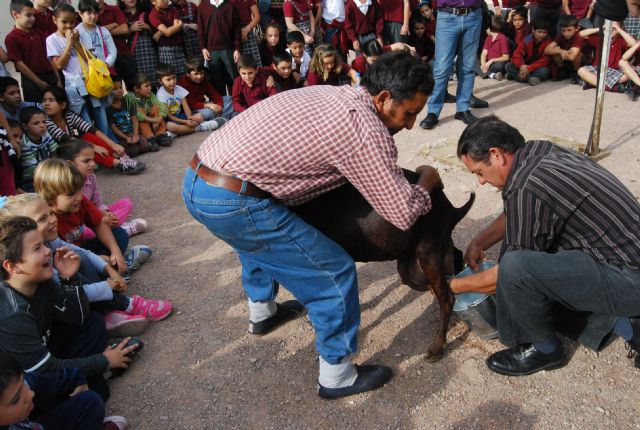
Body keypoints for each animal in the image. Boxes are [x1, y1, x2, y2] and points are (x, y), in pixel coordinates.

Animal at [292, 168, 472, 360]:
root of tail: (451, 208)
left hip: (428, 253)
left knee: (447, 298)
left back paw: (438, 345)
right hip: (416, 263)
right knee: (454, 258)